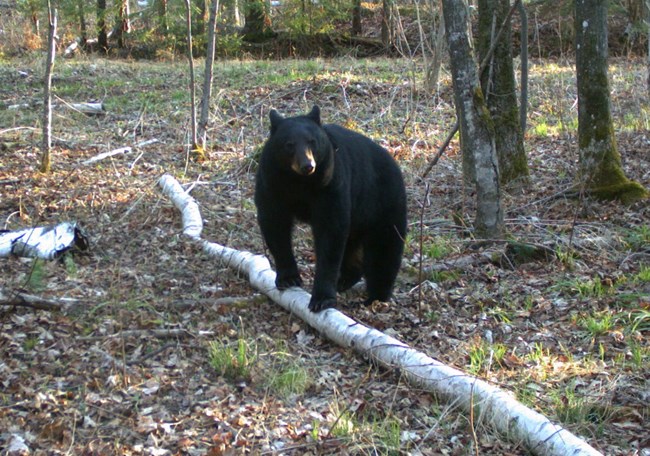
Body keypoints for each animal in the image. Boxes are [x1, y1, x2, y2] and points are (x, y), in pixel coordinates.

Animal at [254, 106, 402, 312]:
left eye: (312, 141)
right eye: (289, 144)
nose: (308, 165)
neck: (299, 181)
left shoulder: (330, 185)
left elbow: (330, 233)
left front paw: (322, 298)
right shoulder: (272, 183)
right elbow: (274, 223)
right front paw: (288, 278)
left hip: (382, 201)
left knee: (385, 247)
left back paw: (376, 297)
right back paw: (346, 279)